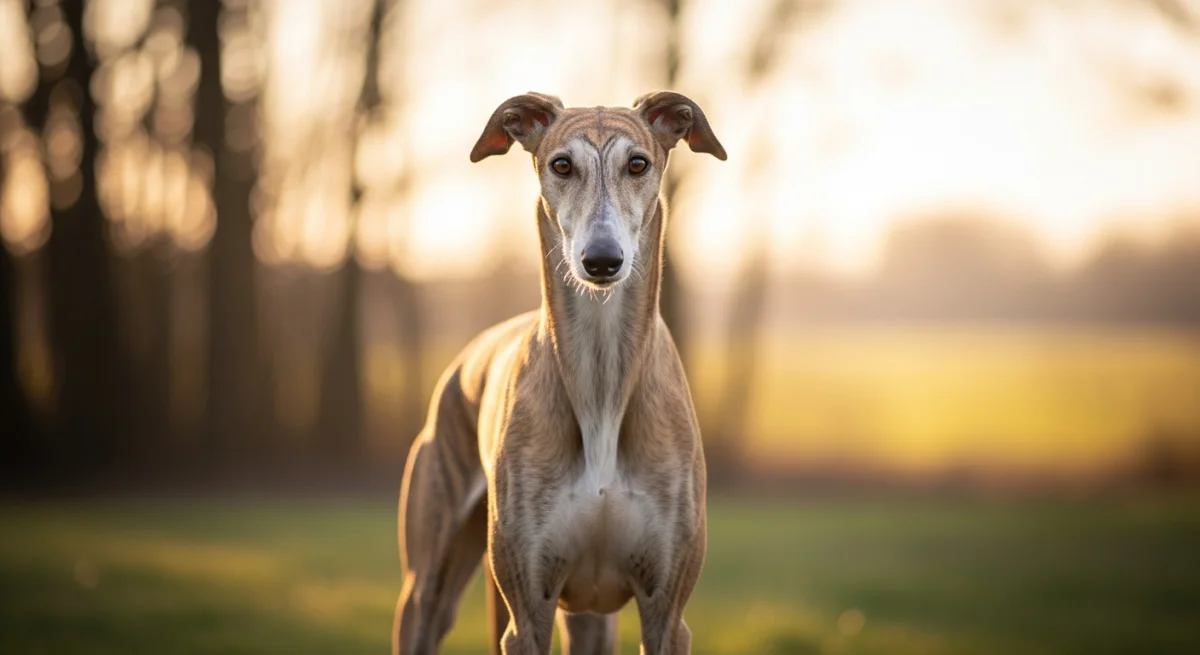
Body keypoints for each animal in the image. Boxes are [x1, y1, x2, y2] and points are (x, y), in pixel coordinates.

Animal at [392, 91, 726, 655]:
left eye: (639, 164)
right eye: (562, 165)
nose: (602, 260)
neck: (601, 380)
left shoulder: (666, 611)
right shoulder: (528, 612)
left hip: (591, 619)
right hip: (429, 583)